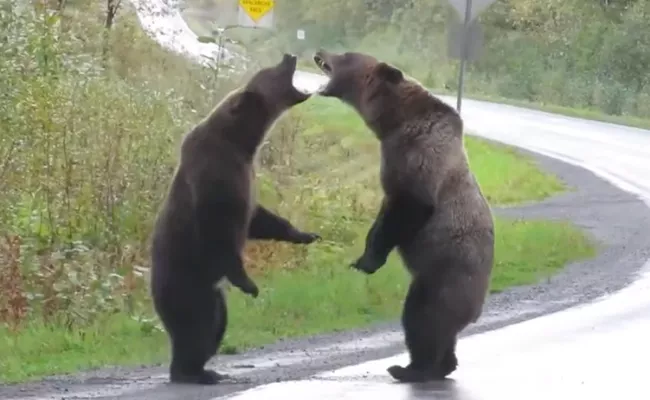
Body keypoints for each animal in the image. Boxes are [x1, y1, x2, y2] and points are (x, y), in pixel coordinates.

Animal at [147, 53, 318, 384]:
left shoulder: (246, 177)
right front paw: (249, 283)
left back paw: (206, 369)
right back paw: (192, 372)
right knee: (195, 327)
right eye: (271, 70)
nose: (289, 56)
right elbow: (222, 228)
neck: (242, 142)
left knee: (216, 325)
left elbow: (259, 219)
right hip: (186, 283)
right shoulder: (217, 177)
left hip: (214, 295)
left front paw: (305, 234)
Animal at [312, 50, 492, 384]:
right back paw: (442, 365)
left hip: (443, 276)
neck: (395, 122)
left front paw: (367, 262)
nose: (319, 52)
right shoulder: (392, 169)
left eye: (346, 55)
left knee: (422, 318)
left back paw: (412, 368)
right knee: (442, 332)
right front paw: (363, 257)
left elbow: (411, 206)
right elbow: (384, 214)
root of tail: (477, 309)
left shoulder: (420, 157)